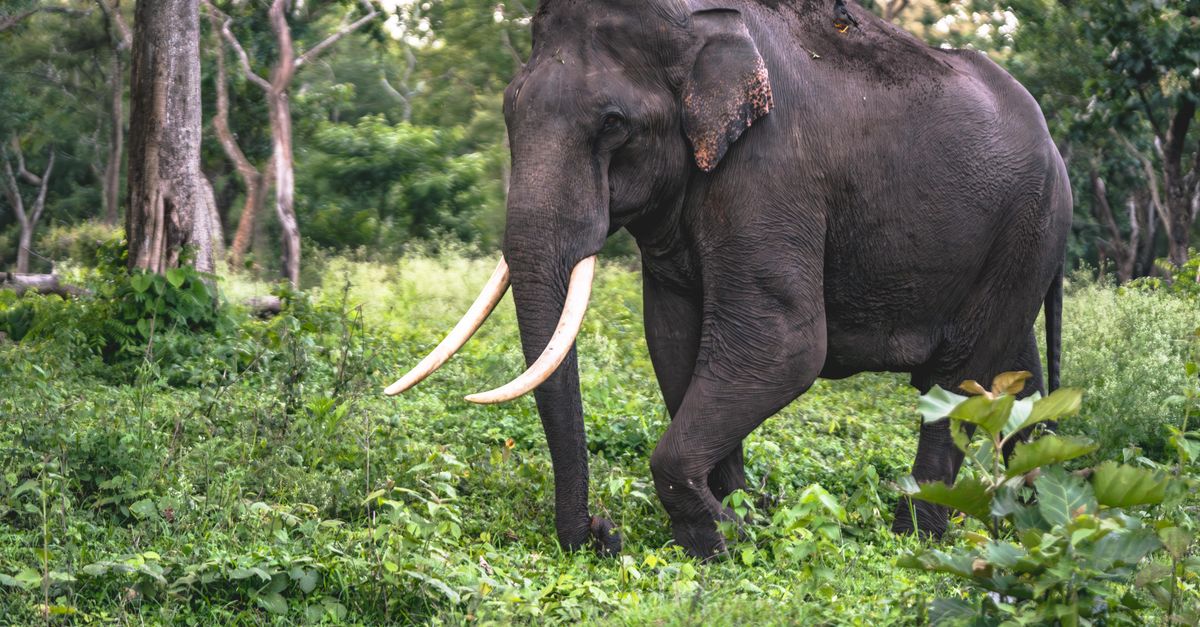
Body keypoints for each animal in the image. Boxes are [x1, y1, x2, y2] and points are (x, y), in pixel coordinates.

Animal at [387, 0, 1071, 560]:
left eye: (612, 123)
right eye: (508, 111)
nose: (603, 533)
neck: (694, 25)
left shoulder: (770, 169)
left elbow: (781, 345)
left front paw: (720, 536)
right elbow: (674, 338)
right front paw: (748, 514)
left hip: (1025, 227)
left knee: (959, 378)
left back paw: (917, 538)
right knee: (1014, 372)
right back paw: (1027, 516)